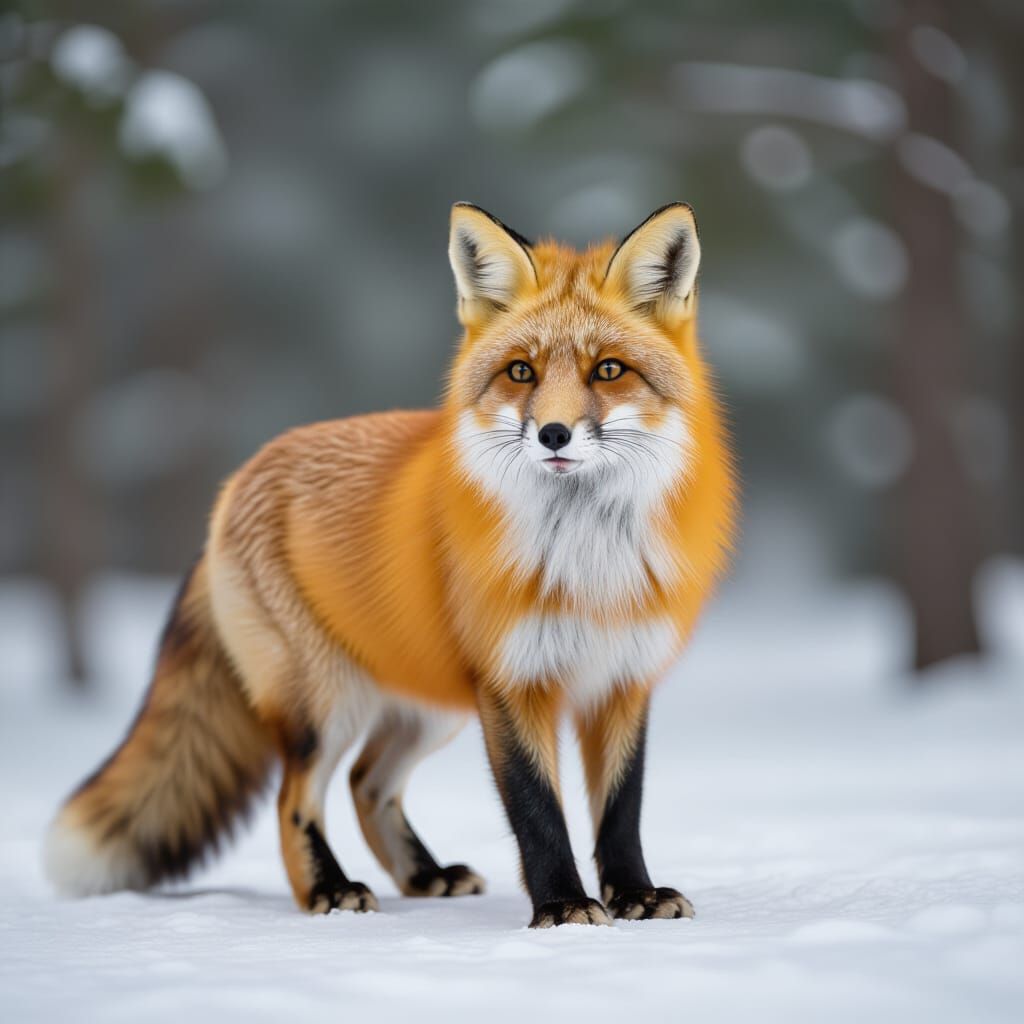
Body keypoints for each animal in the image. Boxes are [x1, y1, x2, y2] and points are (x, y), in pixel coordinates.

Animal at [45, 201, 736, 928]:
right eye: (521, 372)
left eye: (609, 370)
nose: (553, 434)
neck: (587, 564)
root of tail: (239, 479)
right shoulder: (512, 681)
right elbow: (537, 809)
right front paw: (563, 908)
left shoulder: (623, 681)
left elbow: (621, 811)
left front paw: (636, 895)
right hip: (325, 705)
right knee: (296, 797)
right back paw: (328, 890)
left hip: (427, 706)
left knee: (366, 782)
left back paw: (425, 876)